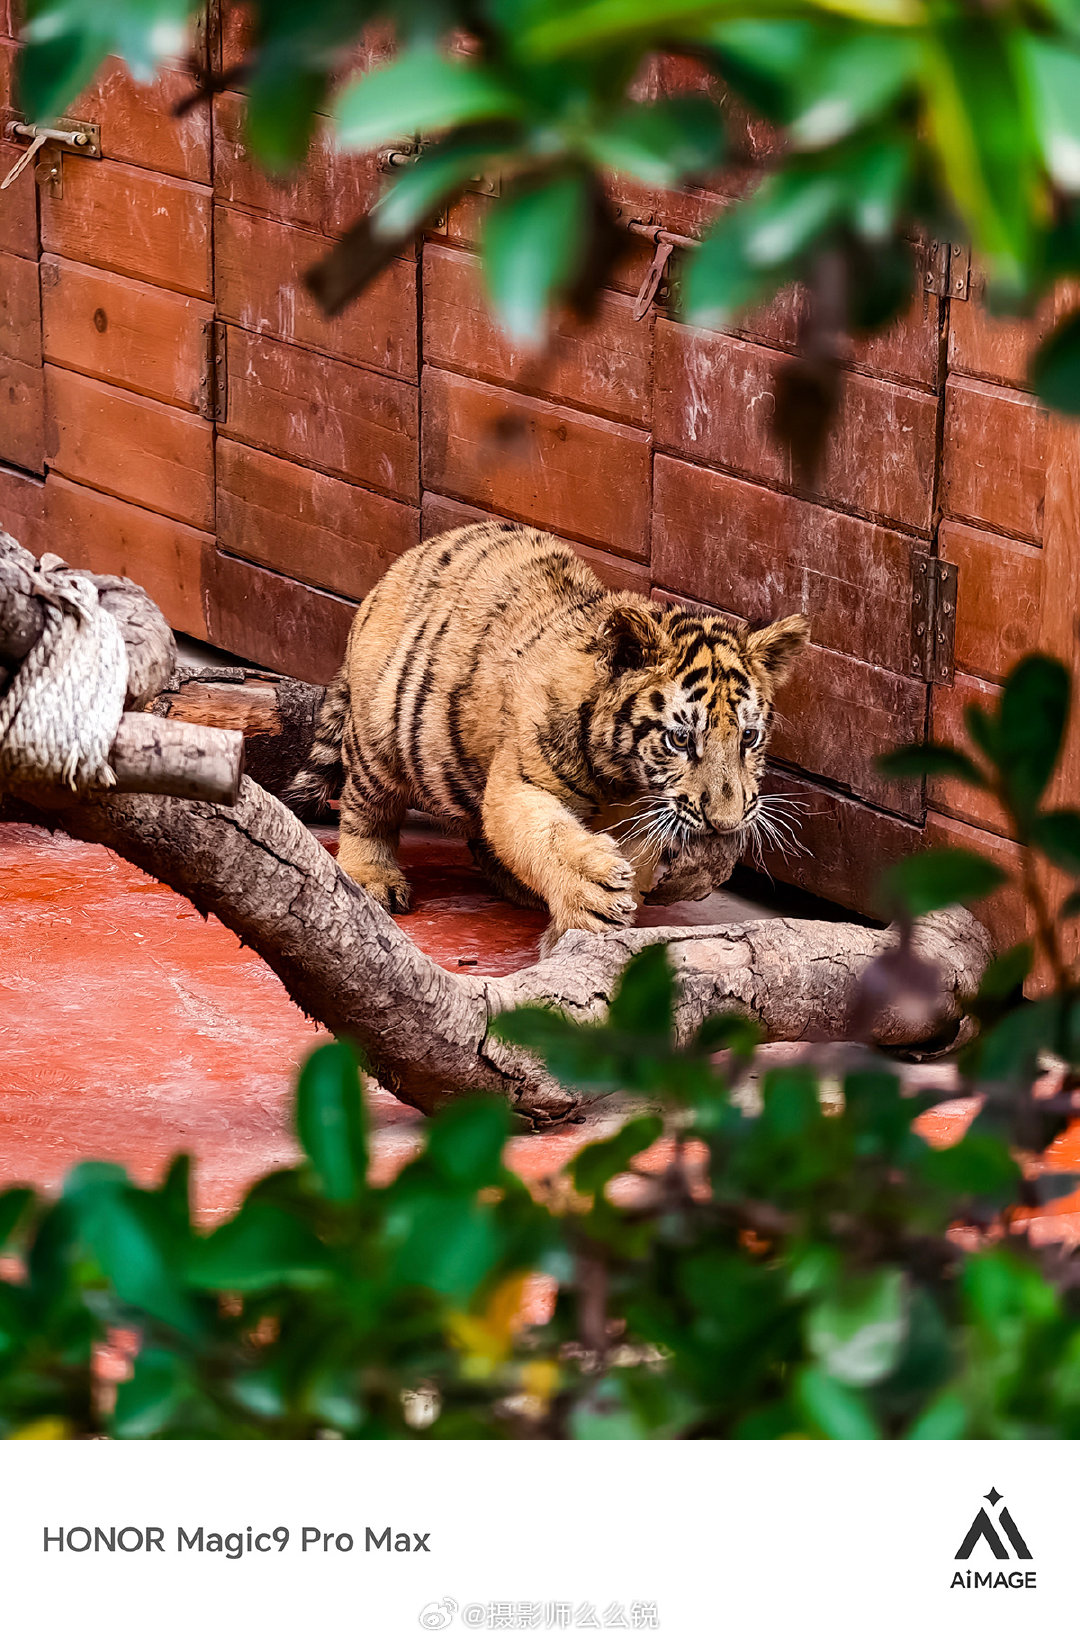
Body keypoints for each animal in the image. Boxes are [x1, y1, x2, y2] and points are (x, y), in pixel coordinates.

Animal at [286, 521, 810, 952]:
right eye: (680, 740)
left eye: (749, 737)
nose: (725, 823)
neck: (623, 780)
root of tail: (399, 566)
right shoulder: (520, 783)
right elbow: (547, 835)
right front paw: (593, 892)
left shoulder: (641, 815)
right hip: (379, 737)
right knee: (365, 811)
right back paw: (373, 879)